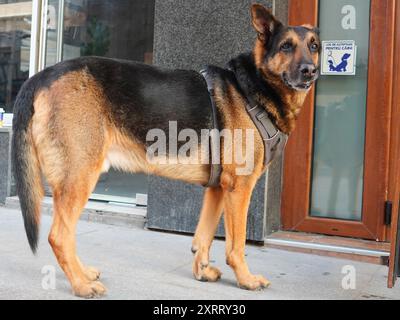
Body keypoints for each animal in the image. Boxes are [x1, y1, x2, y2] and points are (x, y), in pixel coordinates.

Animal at [10, 3, 320, 298]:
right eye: (286, 46)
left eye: (314, 46)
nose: (310, 70)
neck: (253, 87)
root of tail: (41, 76)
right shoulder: (239, 188)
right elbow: (237, 245)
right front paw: (246, 279)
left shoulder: (218, 189)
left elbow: (203, 236)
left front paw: (202, 271)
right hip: (80, 176)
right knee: (59, 236)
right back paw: (81, 286)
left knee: (67, 234)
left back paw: (83, 273)